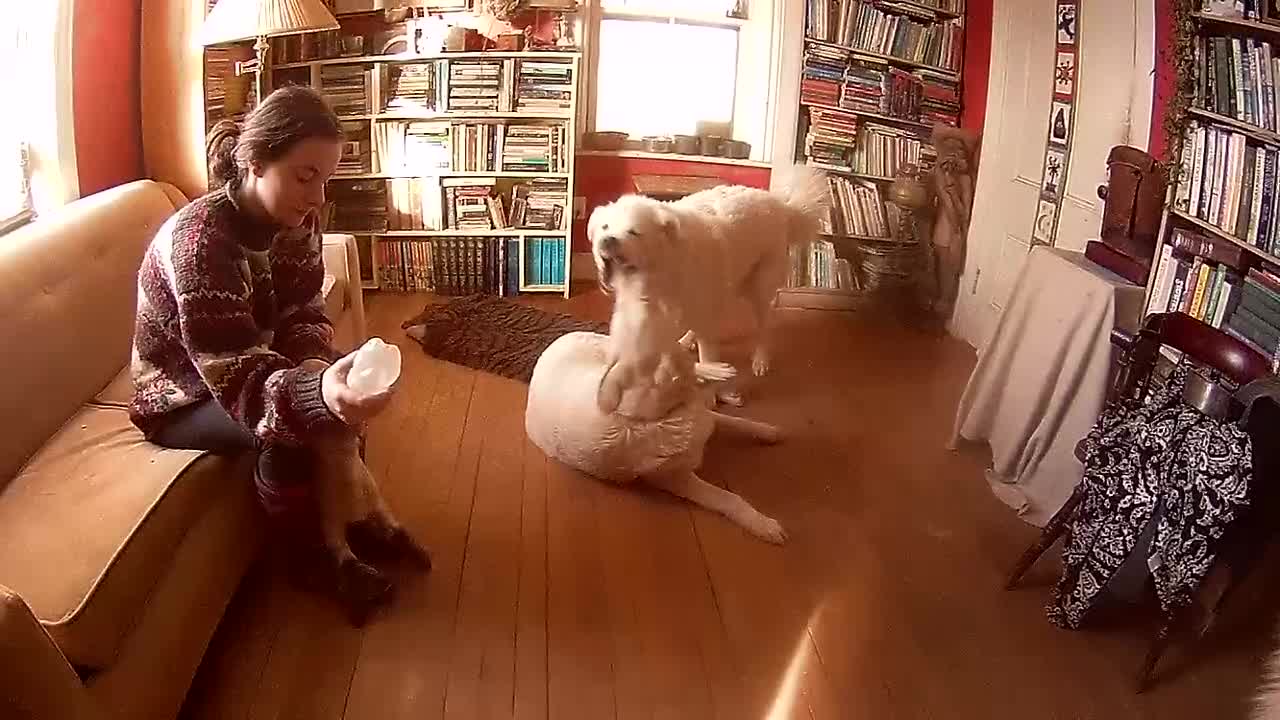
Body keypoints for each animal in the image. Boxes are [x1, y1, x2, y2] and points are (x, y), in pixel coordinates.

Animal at [586, 165, 829, 407]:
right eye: (605, 227)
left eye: (634, 232)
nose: (607, 240)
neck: (663, 266)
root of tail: (782, 206)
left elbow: (706, 355)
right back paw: (687, 340)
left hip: (757, 289)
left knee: (764, 327)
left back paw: (760, 360)